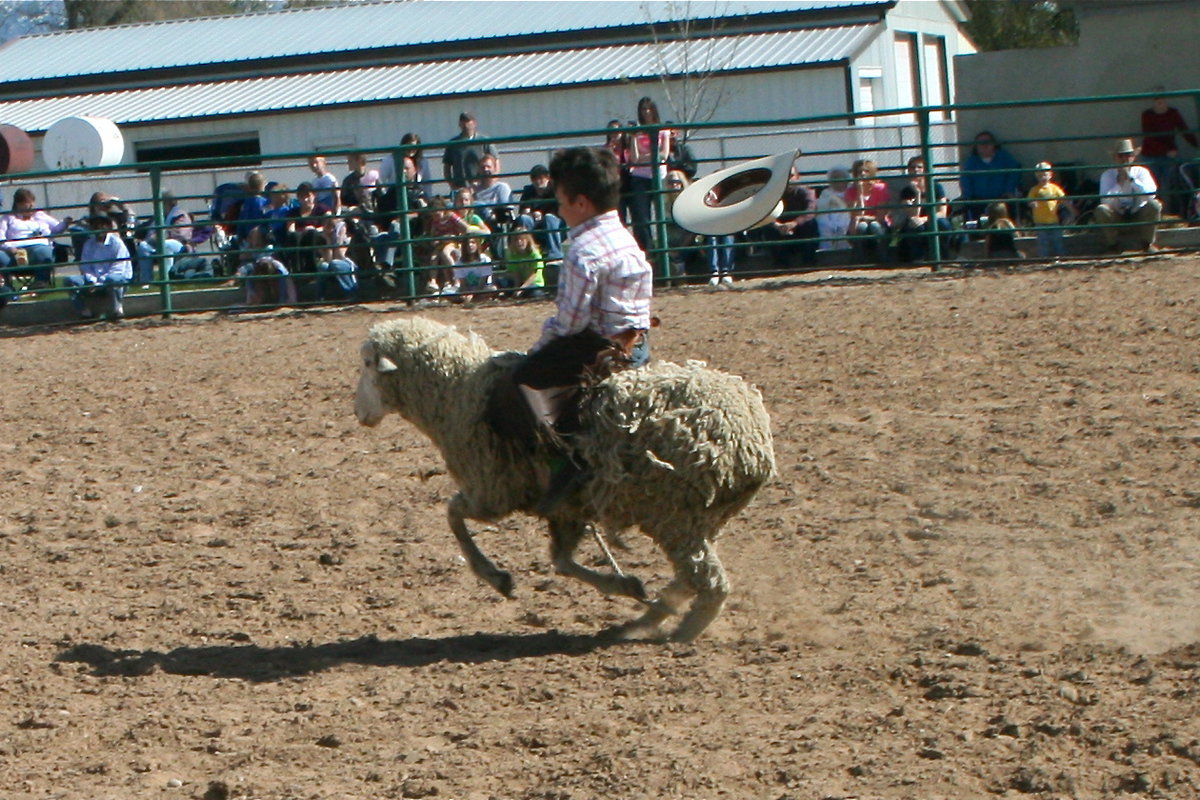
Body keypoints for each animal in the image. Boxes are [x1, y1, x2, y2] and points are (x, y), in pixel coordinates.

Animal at [352, 316, 777, 642]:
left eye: (369, 363)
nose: (358, 413)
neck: (460, 393)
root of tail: (751, 439)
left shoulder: (493, 489)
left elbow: (453, 515)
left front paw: (496, 578)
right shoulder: (567, 509)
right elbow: (562, 561)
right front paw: (623, 586)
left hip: (674, 512)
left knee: (709, 582)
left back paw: (679, 633)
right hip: (702, 516)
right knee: (690, 579)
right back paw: (648, 617)